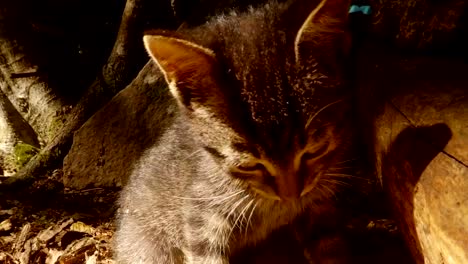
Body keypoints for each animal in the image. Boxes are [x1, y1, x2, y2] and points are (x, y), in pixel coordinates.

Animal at [116, 0, 358, 262]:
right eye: (248, 165)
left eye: (315, 150)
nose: (291, 196)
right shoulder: (201, 212)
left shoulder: (320, 201)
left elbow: (328, 243)